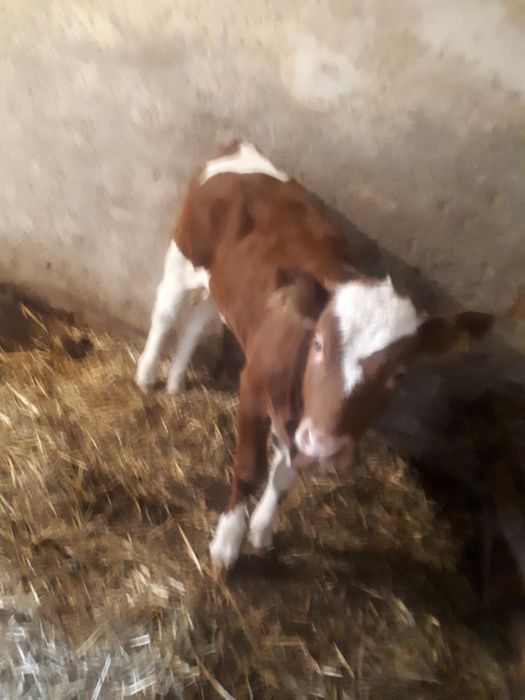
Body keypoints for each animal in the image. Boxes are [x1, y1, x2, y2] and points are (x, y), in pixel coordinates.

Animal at [136, 140, 495, 572]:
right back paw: (146, 375)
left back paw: (175, 382)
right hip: (183, 255)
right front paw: (226, 545)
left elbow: (284, 477)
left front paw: (262, 529)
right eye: (320, 344)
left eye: (399, 373)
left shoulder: (303, 425)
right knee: (166, 311)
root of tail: (239, 151)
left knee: (197, 320)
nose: (326, 443)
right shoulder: (254, 387)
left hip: (224, 285)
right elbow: (250, 469)